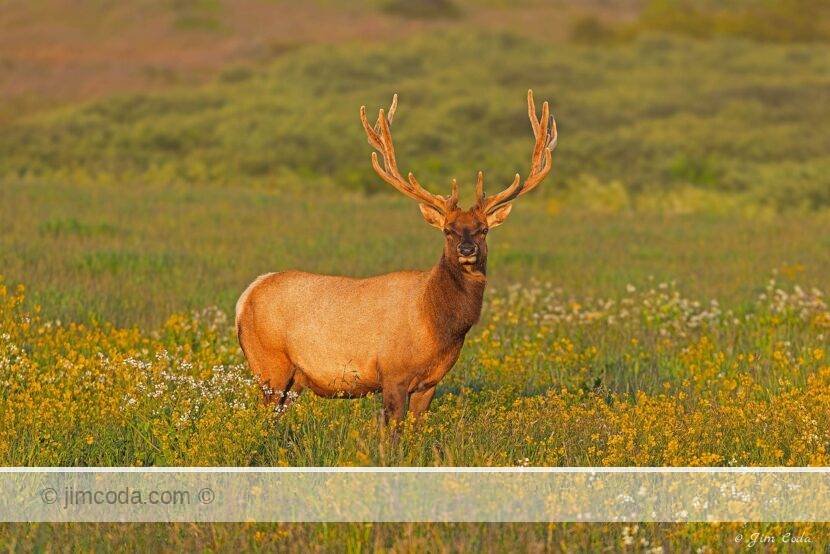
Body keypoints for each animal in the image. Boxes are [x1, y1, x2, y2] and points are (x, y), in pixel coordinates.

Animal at [235, 90, 557, 425]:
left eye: (483, 230)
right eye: (448, 231)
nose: (467, 250)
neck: (436, 323)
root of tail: (244, 298)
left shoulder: (429, 383)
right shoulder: (393, 374)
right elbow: (392, 431)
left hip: (294, 379)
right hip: (269, 365)